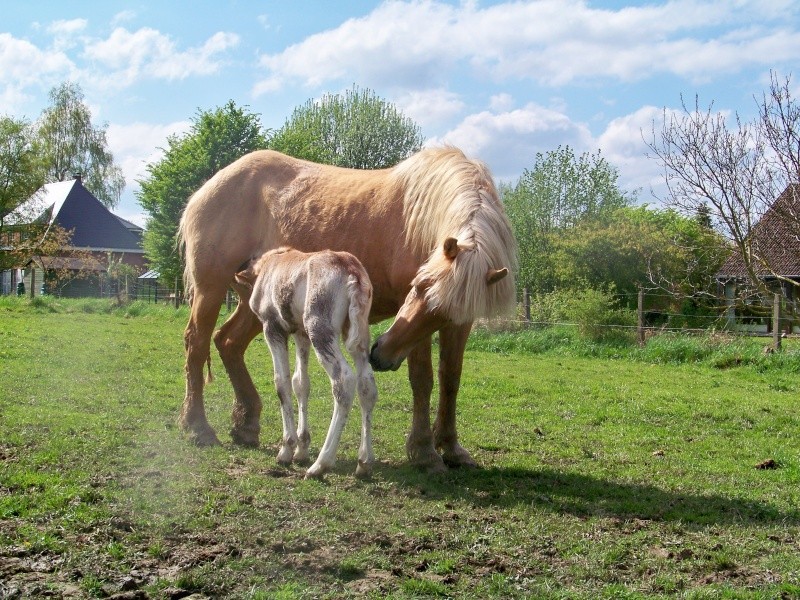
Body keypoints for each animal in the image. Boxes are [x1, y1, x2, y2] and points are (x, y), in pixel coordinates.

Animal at [234, 247, 378, 478]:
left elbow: (281, 382)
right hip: (357, 333)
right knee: (367, 385)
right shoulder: (300, 333)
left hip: (319, 328)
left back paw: (321, 464)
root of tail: (352, 270)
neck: (268, 265)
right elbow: (300, 382)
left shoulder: (273, 328)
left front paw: (286, 450)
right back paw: (364, 463)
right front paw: (301, 450)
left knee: (344, 380)